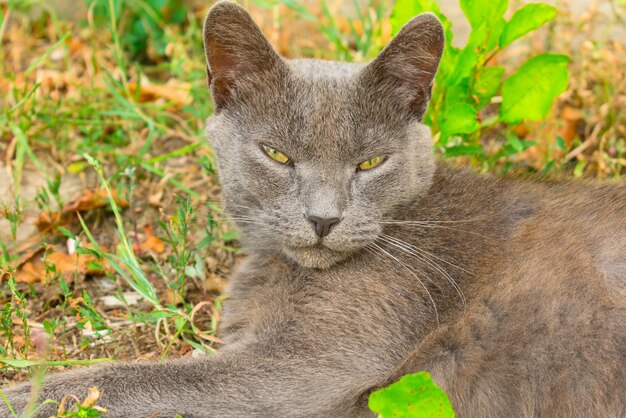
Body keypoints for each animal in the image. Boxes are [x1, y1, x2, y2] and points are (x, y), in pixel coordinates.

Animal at [1, 1, 624, 416]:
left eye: (370, 163)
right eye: (277, 155)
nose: (324, 219)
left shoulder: (309, 362)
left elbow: (130, 379)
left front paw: (22, 394)